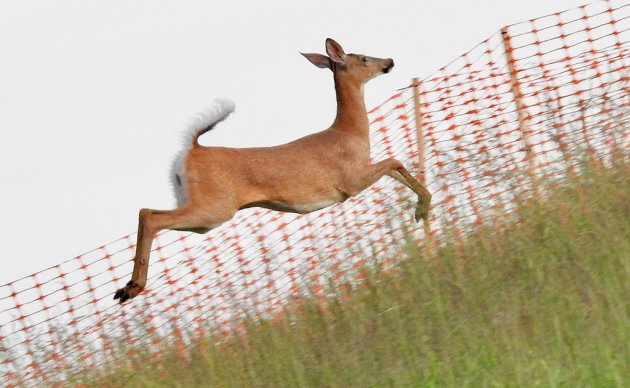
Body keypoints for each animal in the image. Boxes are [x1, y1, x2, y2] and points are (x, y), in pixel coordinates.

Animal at [113, 38, 432, 304]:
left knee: (148, 213)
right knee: (150, 215)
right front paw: (423, 208)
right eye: (363, 58)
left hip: (198, 207)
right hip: (214, 207)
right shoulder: (350, 180)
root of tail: (192, 150)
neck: (349, 132)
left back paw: (126, 289)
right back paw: (133, 287)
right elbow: (394, 161)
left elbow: (395, 168)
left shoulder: (360, 173)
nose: (389, 61)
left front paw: (422, 207)